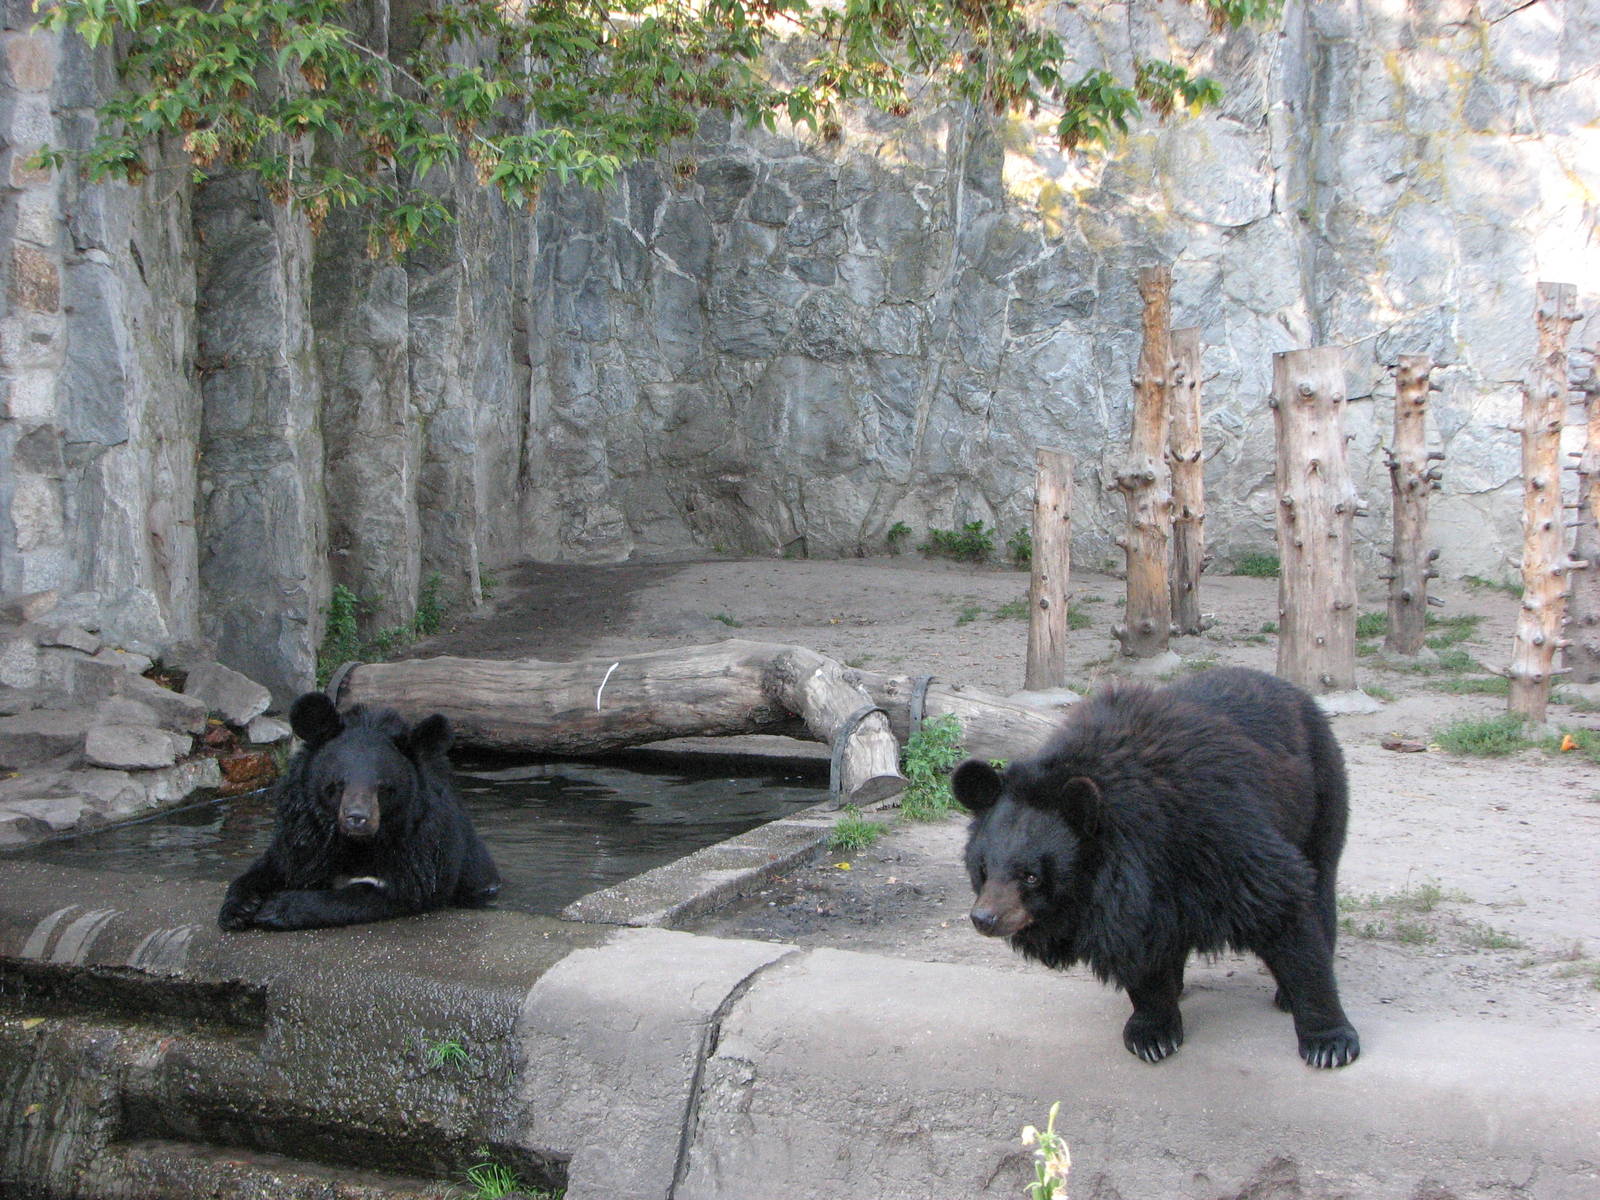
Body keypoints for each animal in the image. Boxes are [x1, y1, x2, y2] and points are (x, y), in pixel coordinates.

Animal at [218, 692, 500, 931]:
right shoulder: (303, 829)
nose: (357, 819)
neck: (356, 843)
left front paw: (277, 908)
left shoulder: (423, 844)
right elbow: (275, 864)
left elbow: (397, 891)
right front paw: (238, 908)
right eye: (337, 784)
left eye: (383, 787)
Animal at [953, 666, 1359, 1069]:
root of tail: (1291, 689)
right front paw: (1153, 1034)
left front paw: (1329, 1042)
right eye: (984, 868)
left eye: (1031, 876)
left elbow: (1280, 903)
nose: (984, 919)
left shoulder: (1220, 832)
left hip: (1321, 794)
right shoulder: (1137, 893)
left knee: (1320, 880)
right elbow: (1138, 944)